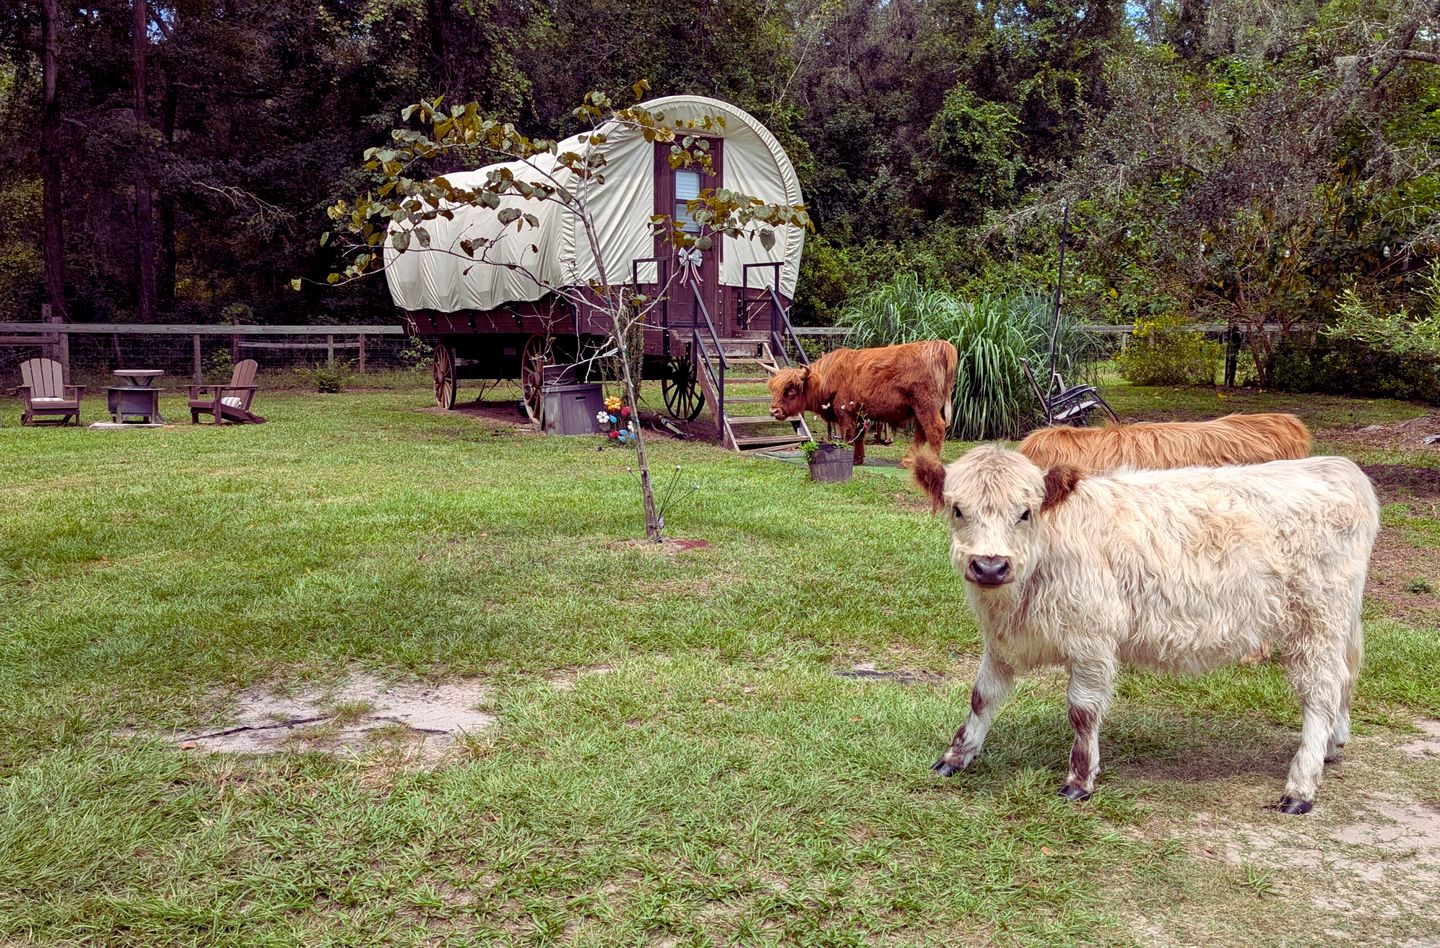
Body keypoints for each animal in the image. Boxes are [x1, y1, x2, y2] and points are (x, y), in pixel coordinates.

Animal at [766, 340, 957, 465]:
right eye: (774, 389)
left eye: (790, 390)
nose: (774, 411)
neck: (826, 378)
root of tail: (937, 345)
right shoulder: (859, 415)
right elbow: (859, 436)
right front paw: (857, 459)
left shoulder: (846, 413)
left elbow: (849, 435)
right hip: (919, 409)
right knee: (921, 432)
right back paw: (908, 460)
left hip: (925, 405)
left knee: (934, 429)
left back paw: (930, 461)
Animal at [912, 445, 1378, 814]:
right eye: (958, 509)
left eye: (1024, 512)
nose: (990, 565)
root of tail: (1335, 466)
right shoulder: (1001, 641)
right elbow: (982, 696)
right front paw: (955, 757)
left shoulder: (1092, 640)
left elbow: (1082, 712)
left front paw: (1079, 781)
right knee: (1344, 679)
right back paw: (1331, 747)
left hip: (1316, 622)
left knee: (1321, 691)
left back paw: (1300, 787)